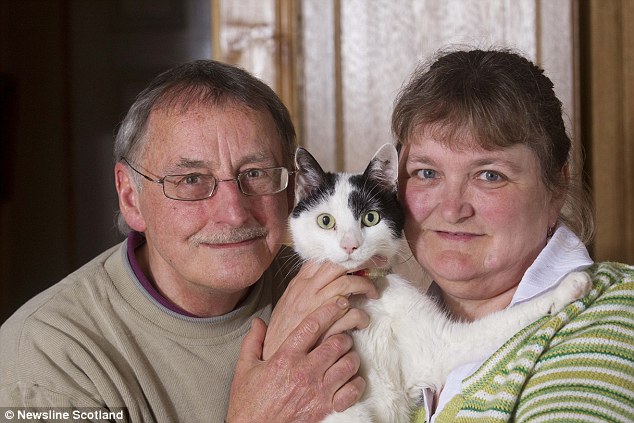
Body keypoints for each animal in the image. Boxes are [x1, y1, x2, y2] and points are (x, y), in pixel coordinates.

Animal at [288, 144, 592, 422]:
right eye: (325, 221)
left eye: (370, 218)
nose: (350, 245)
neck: (366, 298)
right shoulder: (344, 409)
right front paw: (569, 285)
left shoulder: (437, 347)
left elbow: (503, 321)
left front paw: (566, 286)